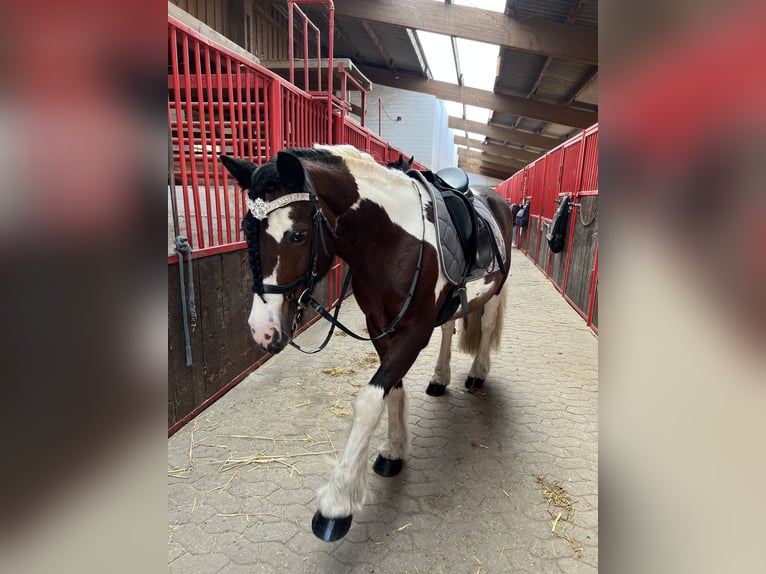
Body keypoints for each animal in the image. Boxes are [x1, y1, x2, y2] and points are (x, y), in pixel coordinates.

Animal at [220, 145, 513, 542]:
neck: (393, 241)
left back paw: (477, 373)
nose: (261, 330)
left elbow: (371, 400)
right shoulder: (380, 326)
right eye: (244, 229)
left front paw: (337, 504)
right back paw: (440, 378)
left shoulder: (414, 331)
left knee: (487, 321)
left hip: (495, 289)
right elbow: (393, 389)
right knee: (450, 330)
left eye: (297, 235)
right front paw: (393, 450)